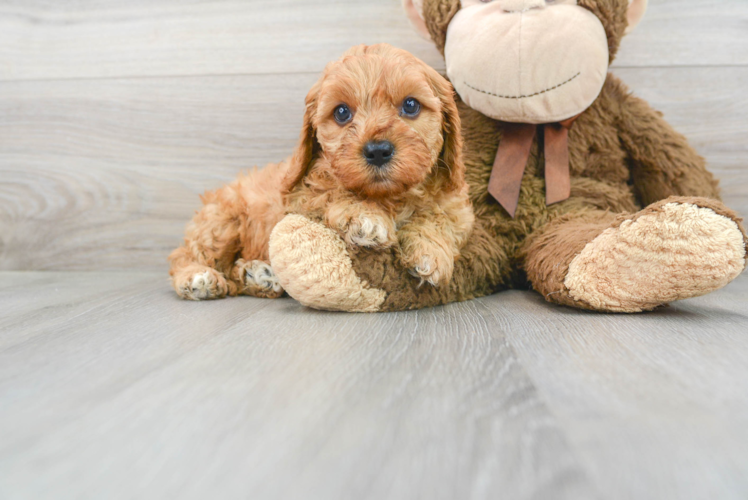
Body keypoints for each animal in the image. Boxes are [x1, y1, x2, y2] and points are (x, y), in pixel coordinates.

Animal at [169, 43, 474, 298]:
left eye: (410, 105)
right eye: (341, 113)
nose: (377, 150)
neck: (388, 196)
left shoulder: (456, 204)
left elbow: (440, 218)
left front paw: (430, 251)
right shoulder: (299, 196)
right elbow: (332, 192)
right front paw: (366, 217)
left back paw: (259, 276)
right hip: (221, 222)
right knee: (185, 255)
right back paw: (199, 277)